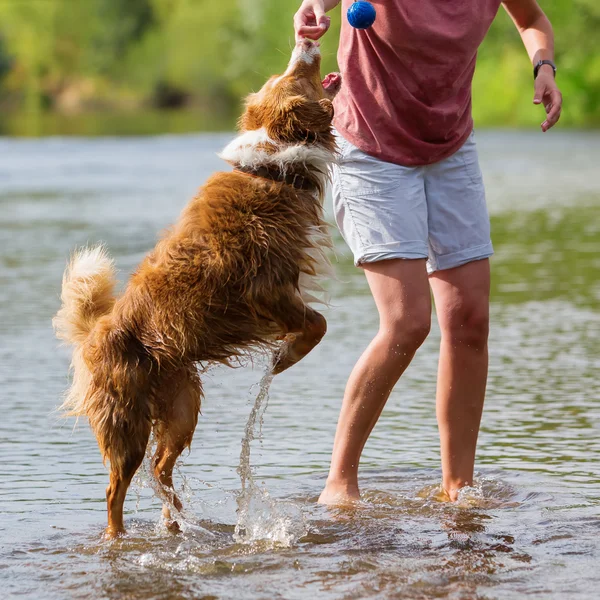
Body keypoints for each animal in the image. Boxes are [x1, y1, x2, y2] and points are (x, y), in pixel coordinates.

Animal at [54, 42, 344, 540]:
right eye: (294, 74)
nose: (306, 40)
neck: (272, 168)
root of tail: (96, 331)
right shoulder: (268, 289)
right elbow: (318, 324)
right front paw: (284, 358)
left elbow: (315, 323)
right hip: (127, 424)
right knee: (115, 490)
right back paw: (119, 536)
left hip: (182, 404)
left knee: (160, 470)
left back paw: (176, 522)